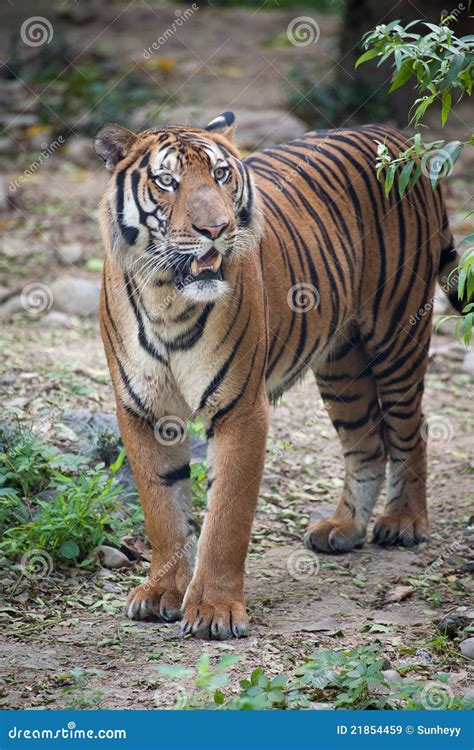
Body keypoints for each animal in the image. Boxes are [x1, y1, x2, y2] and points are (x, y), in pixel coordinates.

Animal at [94, 111, 463, 640]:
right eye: (167, 182)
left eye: (221, 175)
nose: (216, 228)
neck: (168, 295)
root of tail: (396, 136)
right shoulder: (142, 410)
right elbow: (162, 509)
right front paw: (163, 591)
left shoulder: (241, 408)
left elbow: (226, 517)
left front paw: (213, 610)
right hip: (341, 364)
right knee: (368, 443)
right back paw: (344, 529)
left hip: (398, 334)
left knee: (412, 431)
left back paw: (404, 521)